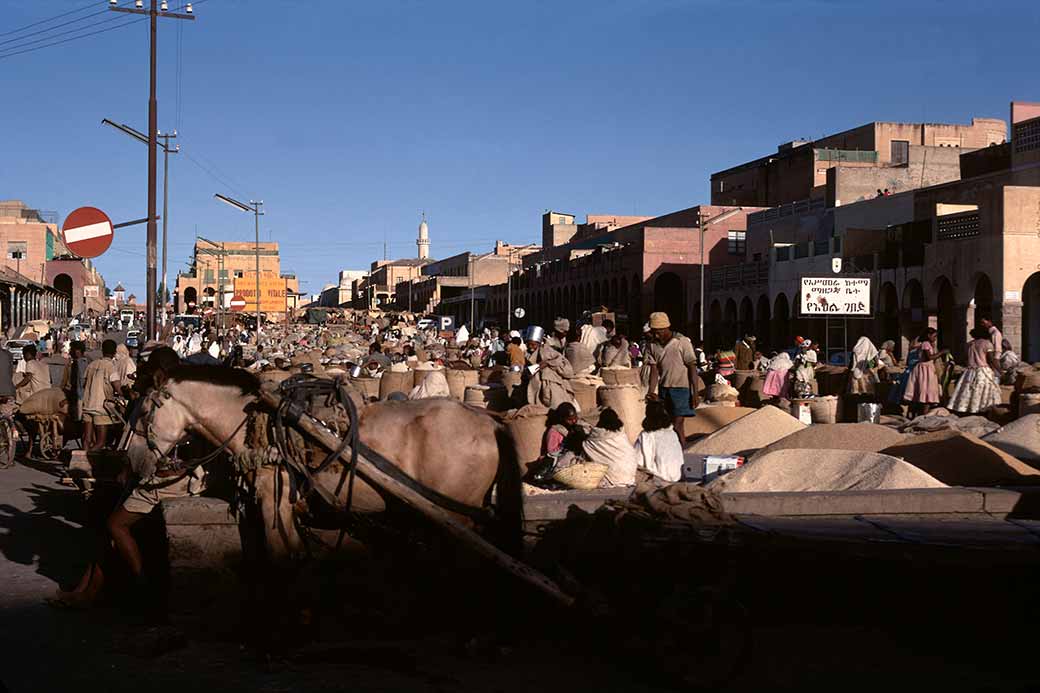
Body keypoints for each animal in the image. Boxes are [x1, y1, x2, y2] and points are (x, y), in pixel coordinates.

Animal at [125, 364, 524, 557]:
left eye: (143, 411)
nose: (131, 462)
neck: (256, 419)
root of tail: (489, 421)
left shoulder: (273, 501)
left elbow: (281, 556)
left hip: (457, 515)